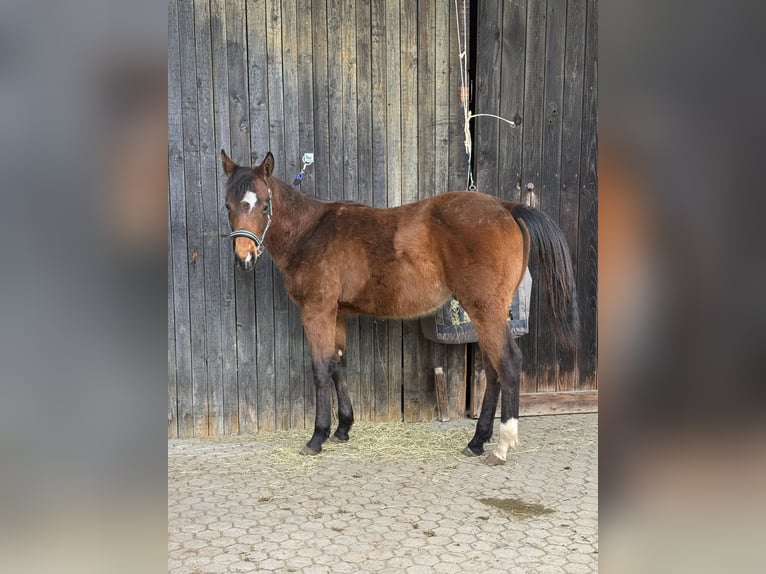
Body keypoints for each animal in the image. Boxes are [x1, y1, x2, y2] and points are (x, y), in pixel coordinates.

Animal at [221, 150, 579, 465]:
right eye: (228, 205)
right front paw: (343, 428)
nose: (243, 258)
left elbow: (321, 369)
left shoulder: (317, 311)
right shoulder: (337, 313)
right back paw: (477, 441)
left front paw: (317, 436)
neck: (311, 232)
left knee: (508, 363)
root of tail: (506, 206)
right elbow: (339, 365)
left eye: (264, 204)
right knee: (493, 370)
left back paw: (501, 445)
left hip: (485, 310)